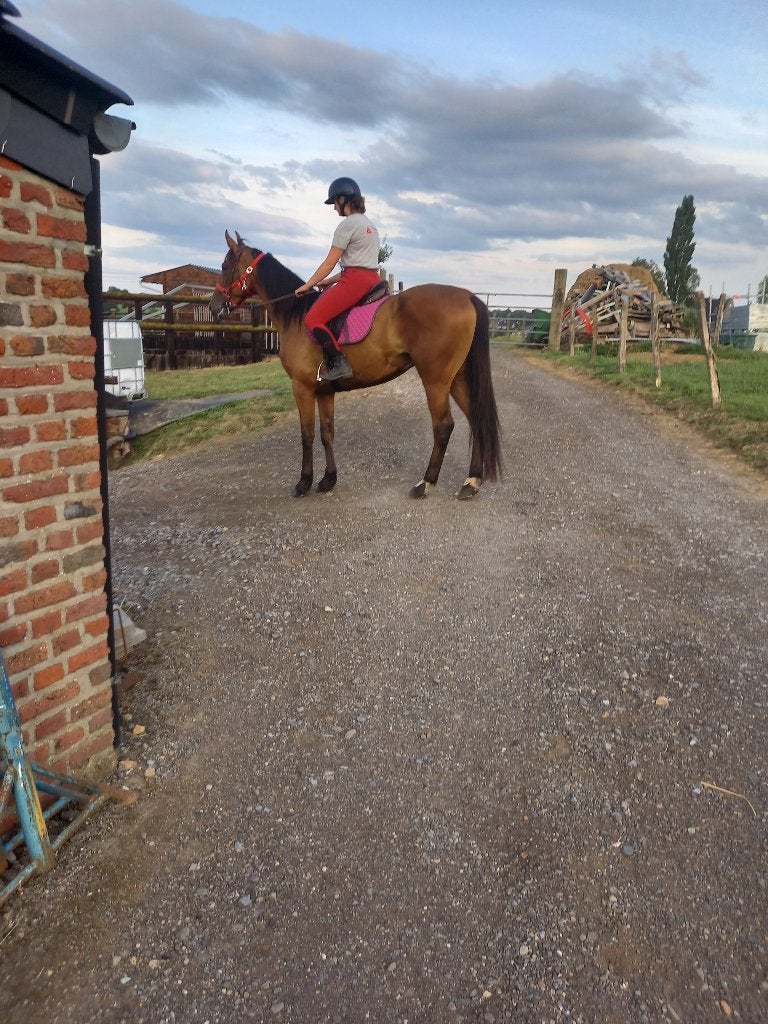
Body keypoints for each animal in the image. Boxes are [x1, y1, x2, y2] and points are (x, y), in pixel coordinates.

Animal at [209, 231, 502, 500]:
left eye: (224, 265)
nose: (214, 306)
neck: (297, 315)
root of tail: (466, 296)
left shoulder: (302, 387)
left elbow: (306, 434)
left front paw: (303, 482)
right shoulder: (324, 391)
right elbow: (327, 432)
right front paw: (328, 479)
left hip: (436, 380)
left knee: (443, 426)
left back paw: (425, 483)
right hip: (457, 378)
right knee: (475, 419)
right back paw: (471, 481)